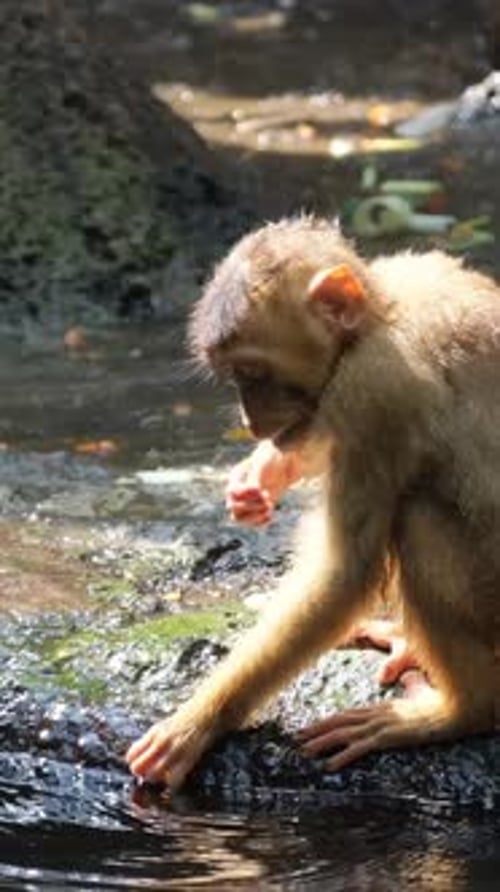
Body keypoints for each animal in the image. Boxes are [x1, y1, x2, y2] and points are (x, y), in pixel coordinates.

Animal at [126, 217, 499, 790]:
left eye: (253, 373)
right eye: (235, 377)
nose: (251, 419)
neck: (382, 314)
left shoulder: (373, 390)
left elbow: (343, 574)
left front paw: (198, 722)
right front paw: (262, 471)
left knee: (417, 516)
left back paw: (466, 710)